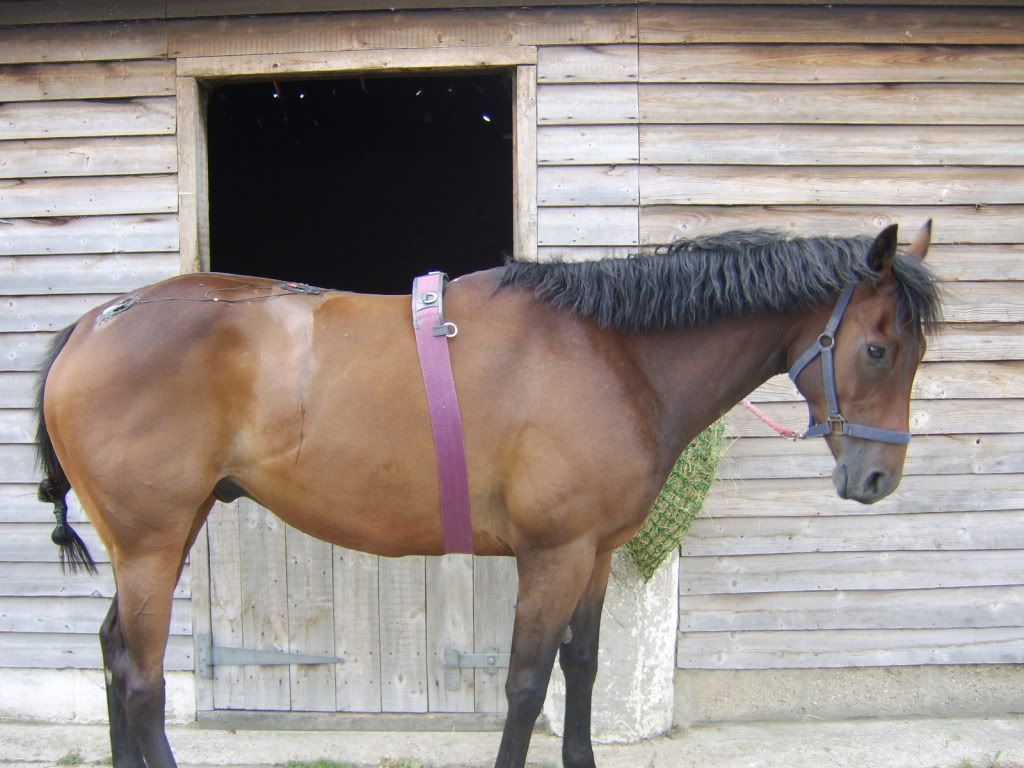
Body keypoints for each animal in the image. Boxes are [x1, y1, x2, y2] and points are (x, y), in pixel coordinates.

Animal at [35, 222, 939, 768]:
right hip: (153, 541)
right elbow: (527, 684)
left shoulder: (594, 555)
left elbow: (582, 667)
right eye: (879, 348)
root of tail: (92, 326)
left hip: (159, 537)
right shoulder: (553, 556)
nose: (877, 479)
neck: (613, 353)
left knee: (116, 653)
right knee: (143, 679)